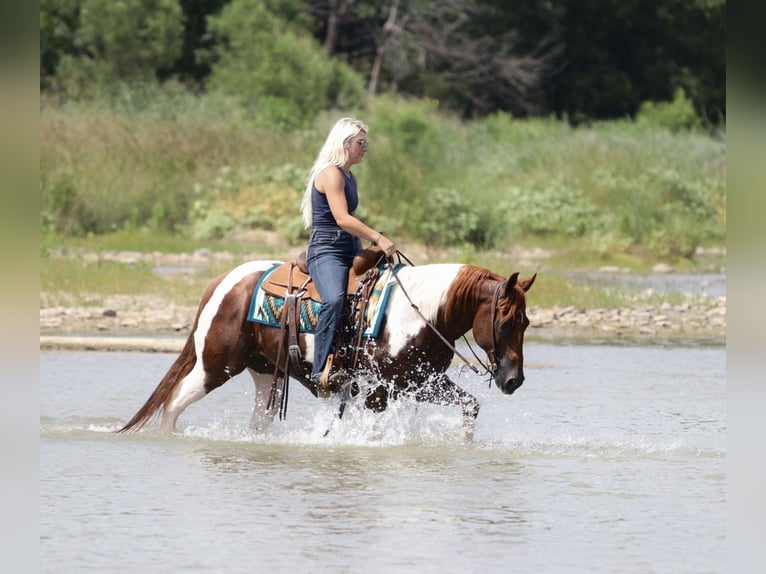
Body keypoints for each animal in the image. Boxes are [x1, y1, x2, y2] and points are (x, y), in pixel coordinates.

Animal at [117, 255, 536, 439]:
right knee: (174, 402)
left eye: (527, 322)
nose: (514, 380)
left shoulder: (420, 382)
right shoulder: (379, 391)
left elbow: (470, 406)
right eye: (505, 322)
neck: (420, 311)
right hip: (215, 365)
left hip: (264, 374)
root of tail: (226, 279)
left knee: (259, 421)